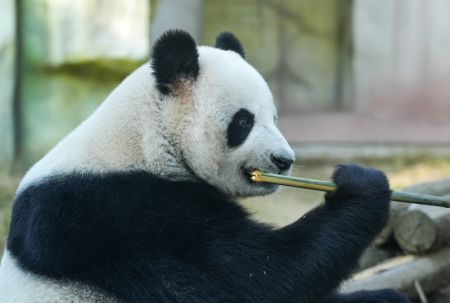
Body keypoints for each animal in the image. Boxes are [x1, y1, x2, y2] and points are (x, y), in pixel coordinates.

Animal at [0, 29, 412, 303]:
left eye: (275, 117)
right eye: (243, 122)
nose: (284, 160)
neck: (143, 140)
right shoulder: (122, 214)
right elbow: (258, 277)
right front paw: (361, 185)